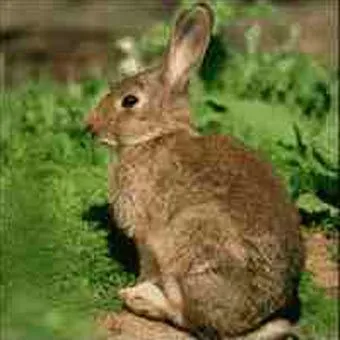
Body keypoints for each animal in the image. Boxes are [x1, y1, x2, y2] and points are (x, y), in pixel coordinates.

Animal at [86, 2, 304, 340]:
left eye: (130, 101)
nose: (91, 125)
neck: (156, 136)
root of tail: (246, 322)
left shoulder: (147, 237)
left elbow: (147, 267)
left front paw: (137, 285)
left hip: (189, 242)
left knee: (185, 315)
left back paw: (138, 298)